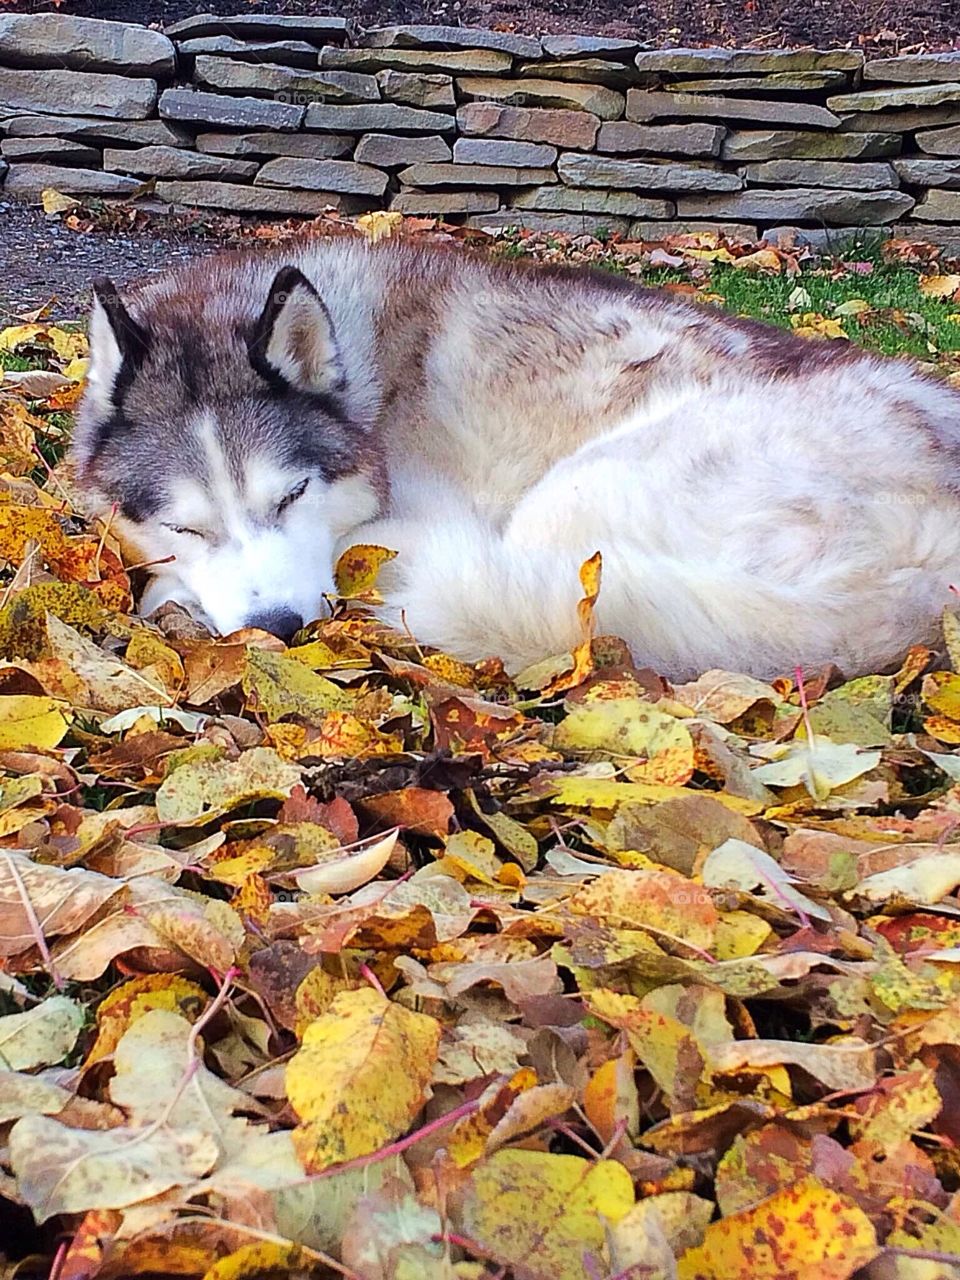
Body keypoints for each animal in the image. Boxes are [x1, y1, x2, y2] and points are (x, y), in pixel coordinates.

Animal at [73, 238, 960, 680]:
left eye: (291, 497)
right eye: (188, 527)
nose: (280, 629)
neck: (369, 379)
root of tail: (927, 583)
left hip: (575, 499)